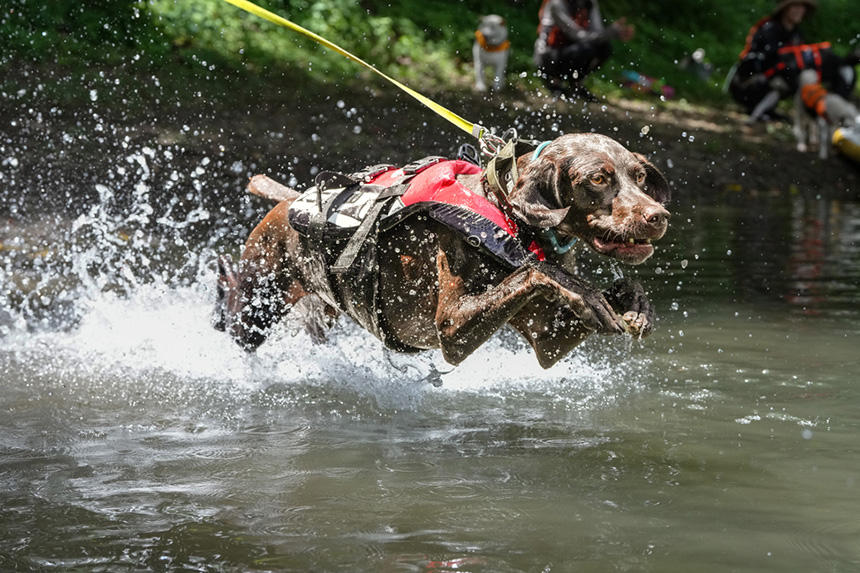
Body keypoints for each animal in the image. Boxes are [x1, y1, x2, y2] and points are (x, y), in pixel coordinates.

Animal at [215, 132, 672, 368]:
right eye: (598, 179)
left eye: (639, 177)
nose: (659, 216)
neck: (516, 223)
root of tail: (287, 202)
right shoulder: (451, 327)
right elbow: (537, 271)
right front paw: (586, 292)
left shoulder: (549, 340)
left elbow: (619, 288)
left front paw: (634, 305)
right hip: (256, 306)